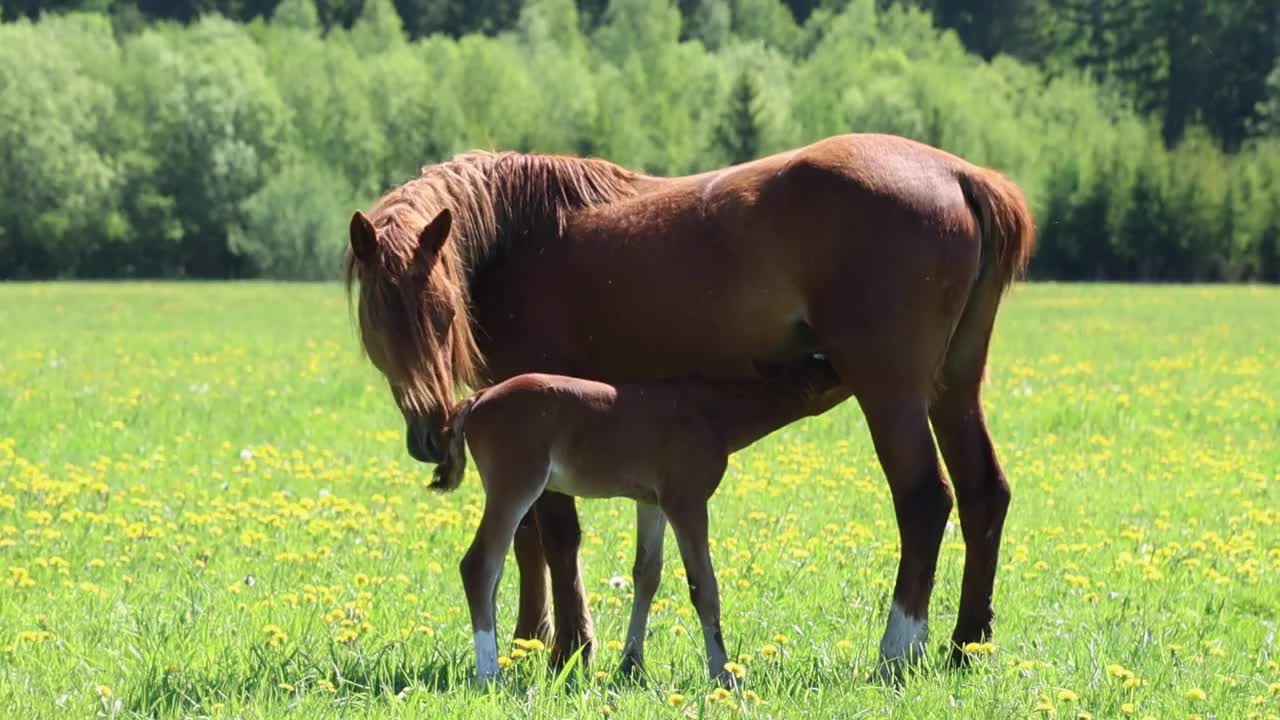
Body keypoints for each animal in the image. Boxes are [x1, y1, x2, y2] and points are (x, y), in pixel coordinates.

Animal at [435, 356, 844, 681]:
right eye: (830, 366)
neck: (712, 414)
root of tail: (477, 398)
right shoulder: (686, 501)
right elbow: (704, 587)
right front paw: (724, 675)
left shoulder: (651, 503)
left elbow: (647, 573)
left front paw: (632, 665)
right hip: (516, 485)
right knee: (480, 566)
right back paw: (490, 674)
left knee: (494, 570)